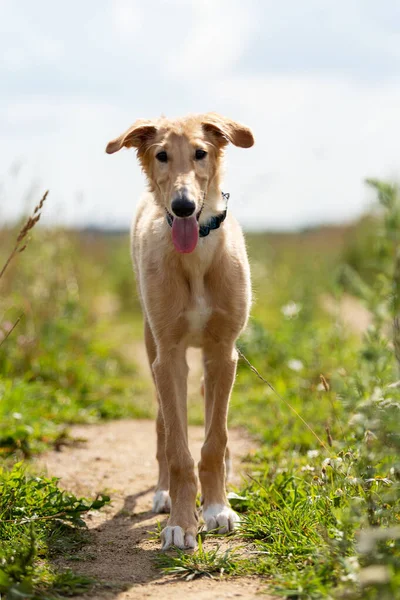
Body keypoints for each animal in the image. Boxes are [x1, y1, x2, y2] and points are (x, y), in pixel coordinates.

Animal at [106, 112, 253, 548]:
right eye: (162, 156)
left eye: (201, 153)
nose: (183, 206)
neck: (196, 257)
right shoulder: (169, 357)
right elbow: (177, 449)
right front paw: (181, 523)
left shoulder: (224, 352)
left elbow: (215, 440)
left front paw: (218, 508)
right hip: (154, 345)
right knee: (162, 427)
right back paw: (163, 493)